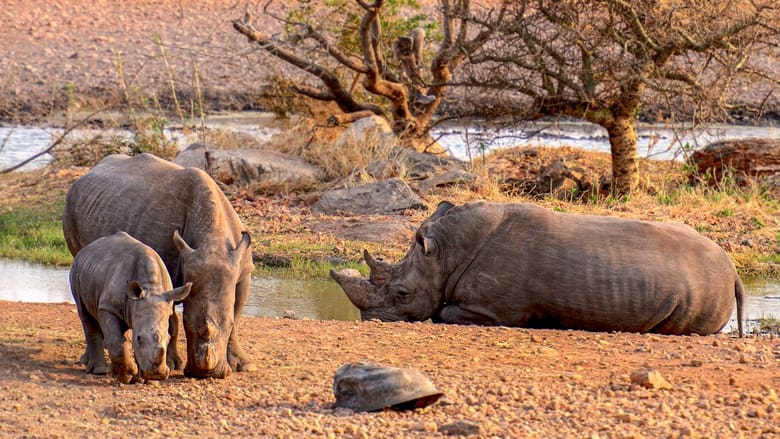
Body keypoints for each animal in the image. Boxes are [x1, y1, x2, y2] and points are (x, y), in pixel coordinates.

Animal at [70, 232, 192, 384]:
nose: (157, 374)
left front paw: (140, 379)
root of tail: (86, 249)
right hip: (76, 270)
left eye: (168, 338)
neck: (151, 288)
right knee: (86, 315)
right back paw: (100, 371)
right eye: (139, 338)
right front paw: (127, 375)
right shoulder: (109, 307)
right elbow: (117, 343)